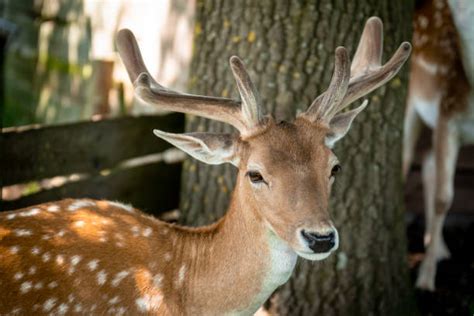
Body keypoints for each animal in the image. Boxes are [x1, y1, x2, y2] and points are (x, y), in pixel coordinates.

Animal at [400, 0, 474, 292]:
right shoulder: (447, 115)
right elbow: (444, 198)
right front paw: (425, 279)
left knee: (428, 161)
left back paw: (438, 245)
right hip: (412, 104)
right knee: (408, 162)